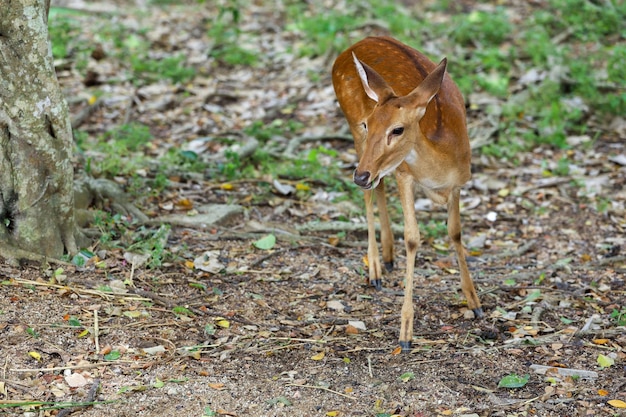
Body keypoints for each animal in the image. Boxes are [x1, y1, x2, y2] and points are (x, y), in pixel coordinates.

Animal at [332, 37, 482, 352]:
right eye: (369, 124)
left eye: (397, 129)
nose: (359, 176)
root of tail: (354, 45)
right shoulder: (404, 175)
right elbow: (413, 238)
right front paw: (406, 332)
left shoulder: (460, 183)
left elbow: (455, 231)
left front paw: (475, 302)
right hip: (355, 134)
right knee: (370, 192)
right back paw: (375, 269)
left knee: (377, 186)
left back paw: (388, 256)